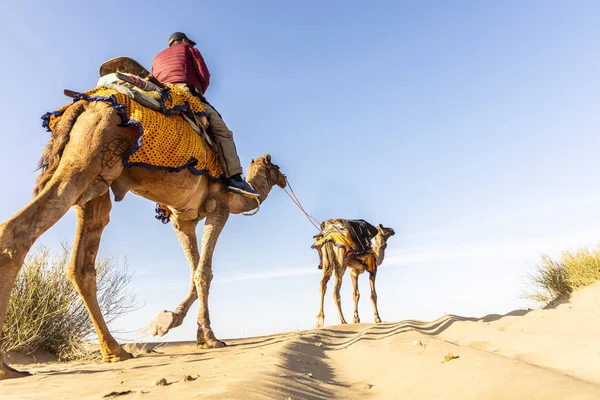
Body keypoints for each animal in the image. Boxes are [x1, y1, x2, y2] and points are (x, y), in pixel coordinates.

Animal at [0, 98, 288, 380]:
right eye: (276, 167)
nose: (285, 179)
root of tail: (82, 106)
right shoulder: (218, 205)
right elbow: (204, 272)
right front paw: (208, 338)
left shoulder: (182, 219)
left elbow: (194, 271)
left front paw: (167, 322)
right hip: (85, 160)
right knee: (18, 230)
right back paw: (7, 368)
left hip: (97, 182)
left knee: (81, 264)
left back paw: (115, 351)